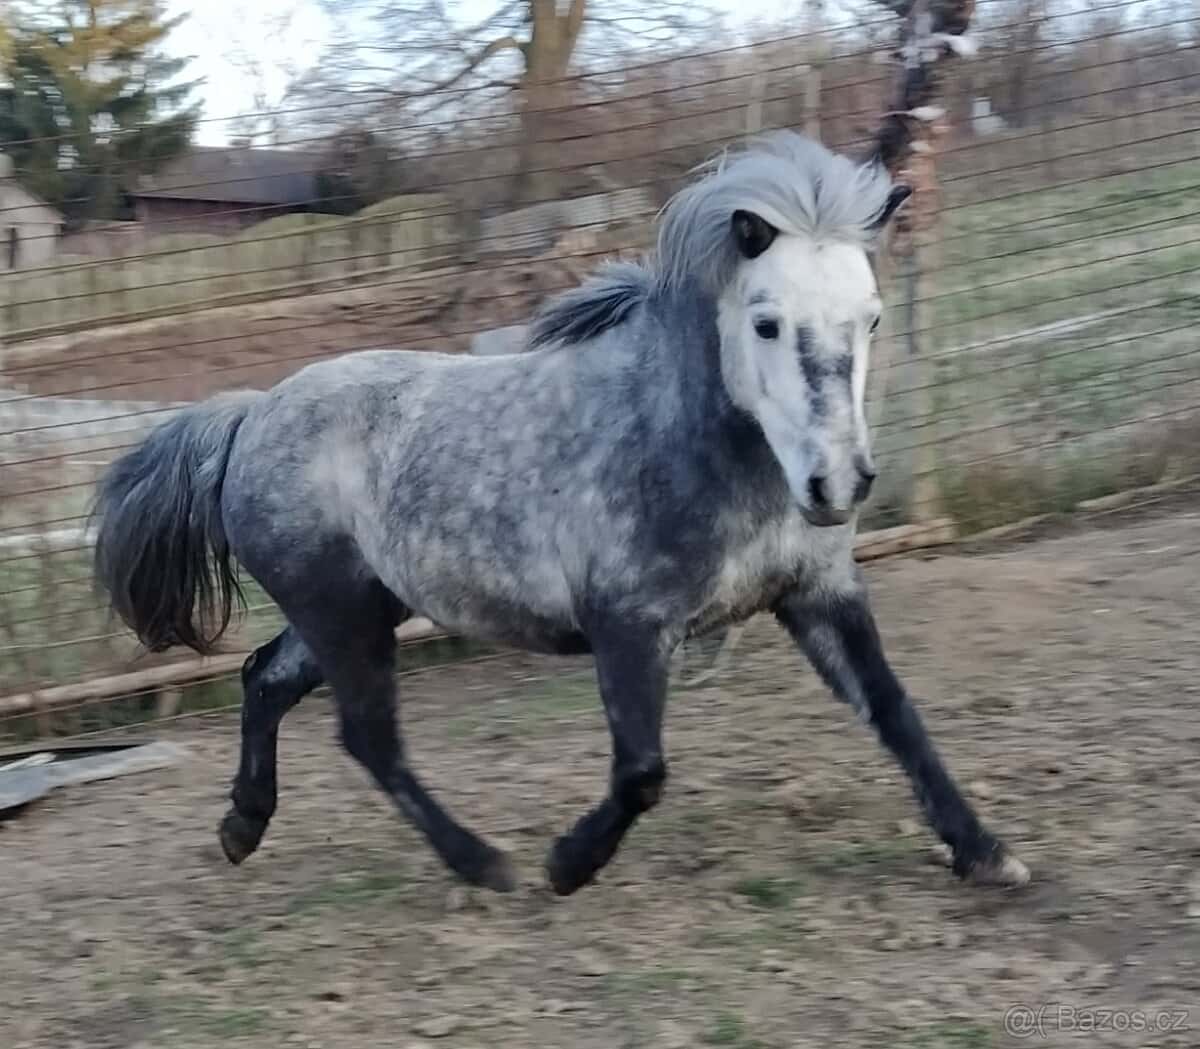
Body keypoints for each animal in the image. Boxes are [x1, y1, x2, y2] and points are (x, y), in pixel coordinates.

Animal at [91, 130, 1029, 896]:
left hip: (357, 608)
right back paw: (484, 863)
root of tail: (249, 417)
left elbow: (895, 713)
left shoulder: (816, 595)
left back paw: (242, 826)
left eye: (870, 317)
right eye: (766, 323)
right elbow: (643, 769)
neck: (693, 444)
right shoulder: (628, 624)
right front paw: (568, 863)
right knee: (368, 737)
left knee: (265, 680)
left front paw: (985, 850)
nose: (838, 483)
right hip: (342, 613)